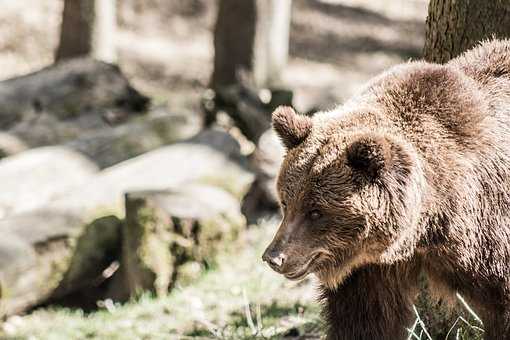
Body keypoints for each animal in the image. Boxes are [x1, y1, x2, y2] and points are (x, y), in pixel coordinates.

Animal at [264, 38, 510, 338]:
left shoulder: (488, 233)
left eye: (316, 211)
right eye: (285, 202)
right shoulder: (371, 268)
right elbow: (367, 318)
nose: (273, 257)